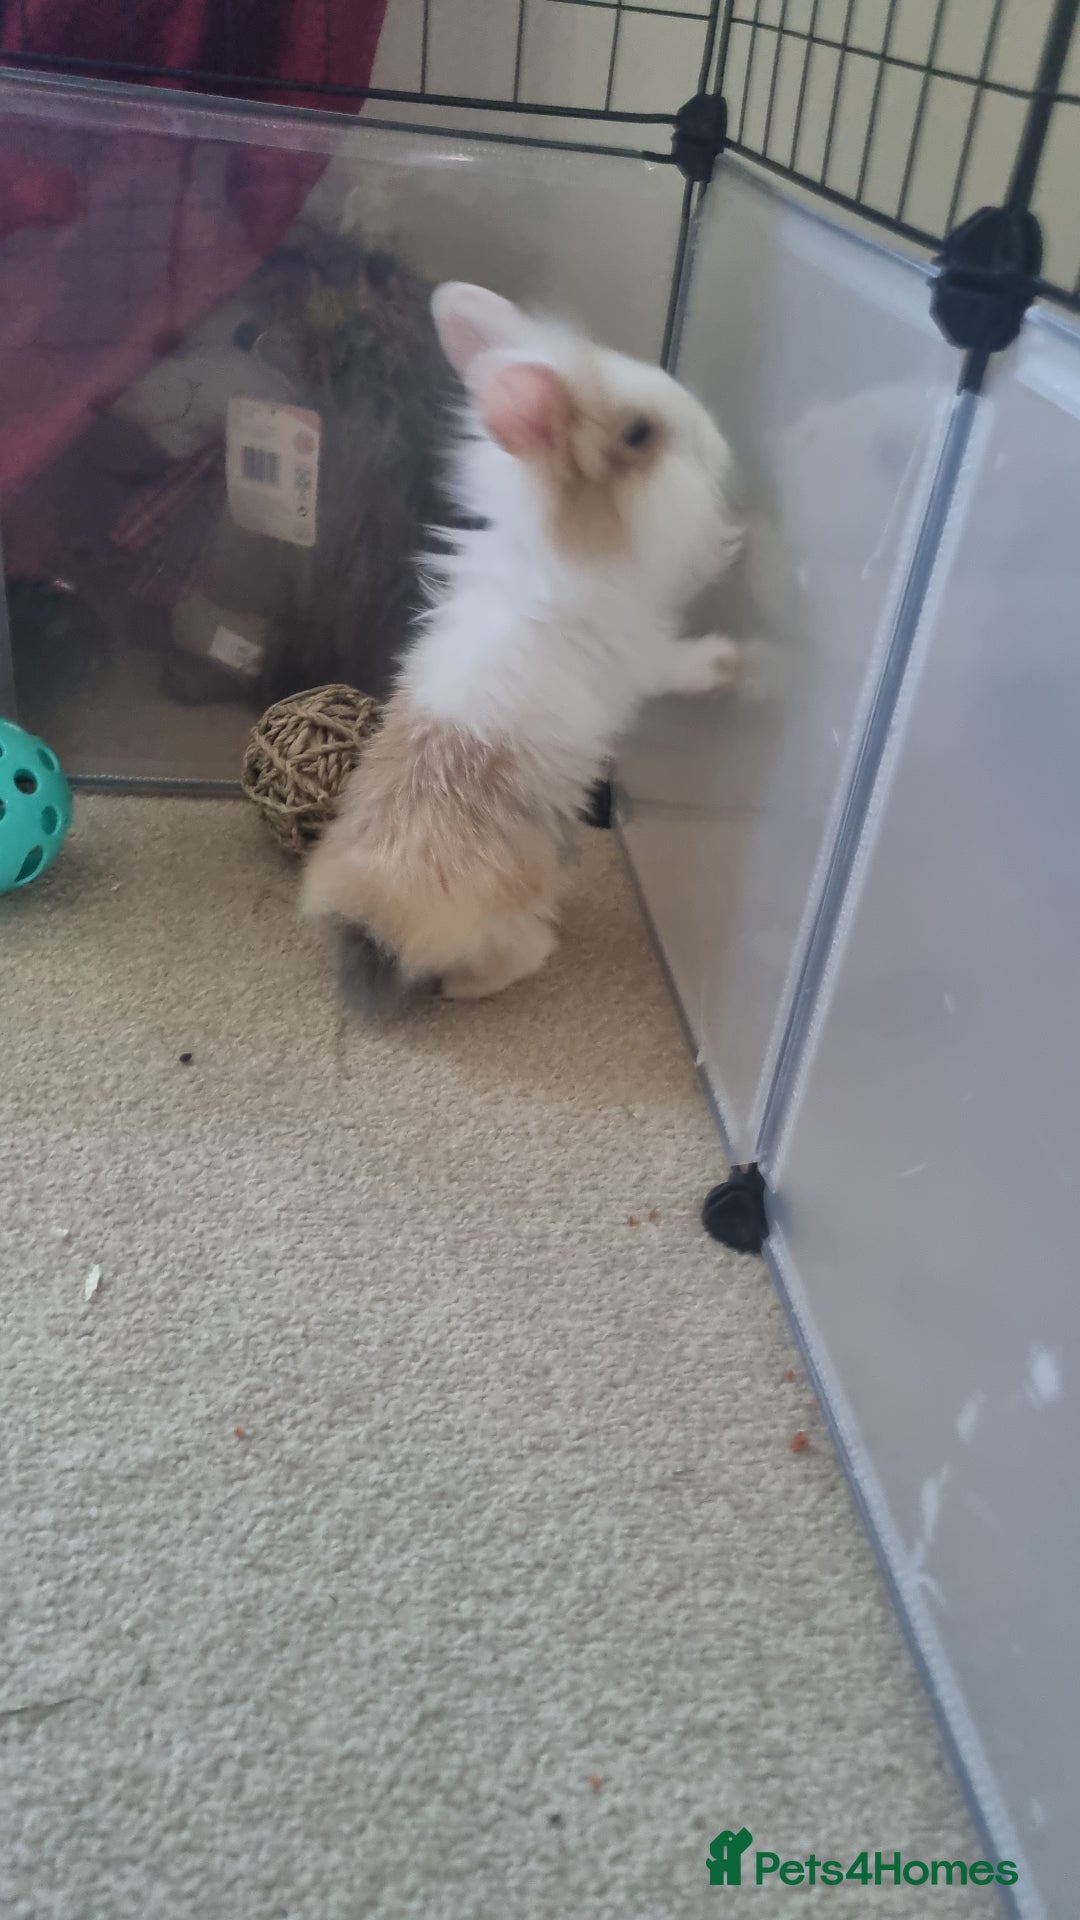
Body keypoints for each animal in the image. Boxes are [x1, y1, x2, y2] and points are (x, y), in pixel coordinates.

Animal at [300, 280, 743, 1012]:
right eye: (639, 434)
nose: (720, 439)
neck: (563, 545)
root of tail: (375, 921)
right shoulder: (645, 651)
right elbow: (682, 660)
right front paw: (732, 654)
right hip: (515, 900)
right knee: (476, 976)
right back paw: (528, 959)